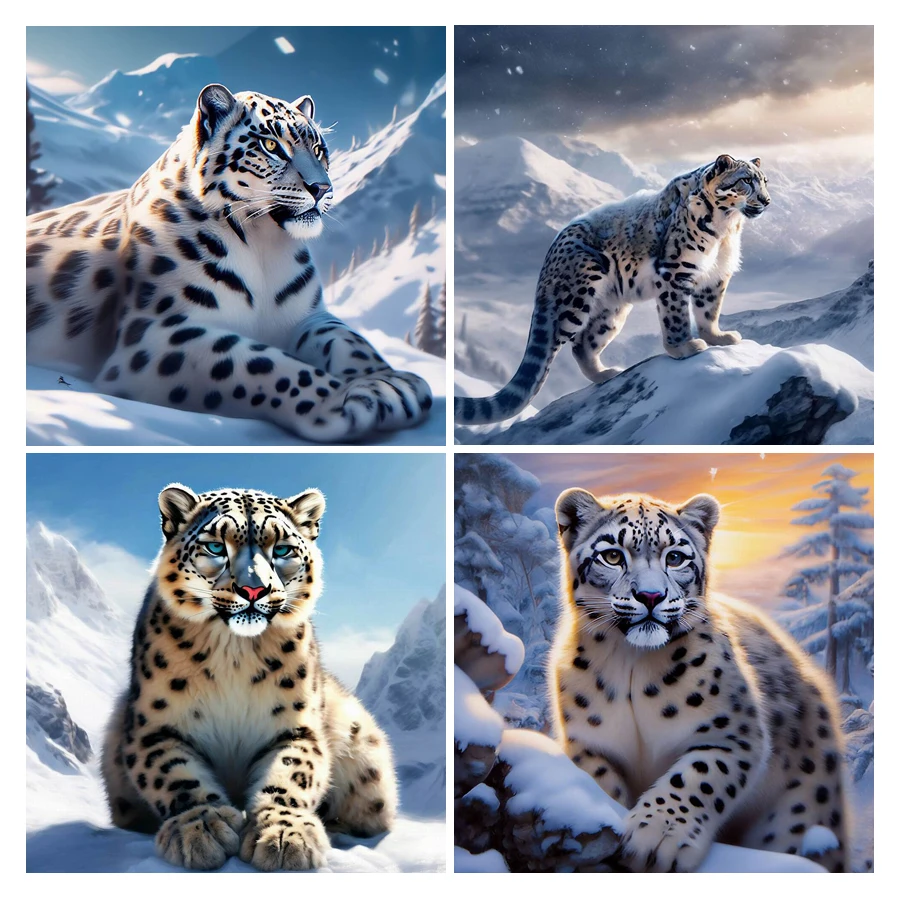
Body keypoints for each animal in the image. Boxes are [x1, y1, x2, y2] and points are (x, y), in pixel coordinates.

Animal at [26, 83, 432, 443]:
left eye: (318, 148)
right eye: (272, 145)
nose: (322, 188)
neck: (264, 247)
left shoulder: (306, 317)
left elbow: (348, 338)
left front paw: (394, 382)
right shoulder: (156, 334)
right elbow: (260, 363)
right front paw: (344, 399)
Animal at [100, 483, 398, 871]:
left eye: (282, 549)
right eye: (215, 546)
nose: (254, 590)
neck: (234, 653)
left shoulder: (295, 726)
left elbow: (292, 774)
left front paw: (284, 835)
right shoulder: (155, 727)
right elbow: (174, 774)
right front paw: (201, 826)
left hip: (365, 757)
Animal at [455, 154, 771, 425]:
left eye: (765, 180)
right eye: (746, 180)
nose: (767, 200)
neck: (726, 228)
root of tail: (550, 254)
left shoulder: (715, 277)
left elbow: (708, 311)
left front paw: (717, 337)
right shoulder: (676, 272)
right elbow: (677, 315)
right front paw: (683, 347)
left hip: (611, 312)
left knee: (584, 344)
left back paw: (605, 374)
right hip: (574, 300)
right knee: (557, 343)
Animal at [549, 488, 848, 873]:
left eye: (675, 557)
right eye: (613, 555)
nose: (651, 596)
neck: (631, 665)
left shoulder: (733, 733)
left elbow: (696, 778)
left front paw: (657, 837)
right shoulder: (588, 743)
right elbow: (600, 783)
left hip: (798, 814)